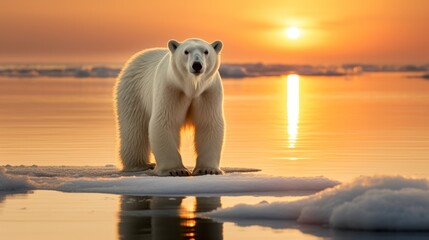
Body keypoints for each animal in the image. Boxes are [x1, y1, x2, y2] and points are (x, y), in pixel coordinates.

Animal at [115, 38, 226, 176]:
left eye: (206, 51)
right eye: (186, 51)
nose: (197, 65)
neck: (192, 87)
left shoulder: (208, 92)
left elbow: (208, 123)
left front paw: (207, 169)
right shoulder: (170, 89)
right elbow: (165, 121)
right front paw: (176, 170)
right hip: (133, 92)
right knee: (134, 129)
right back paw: (139, 165)